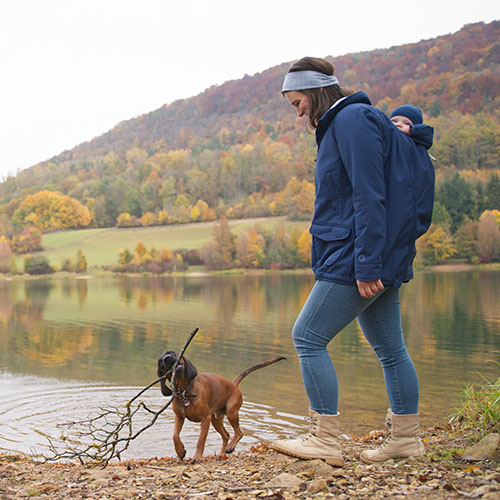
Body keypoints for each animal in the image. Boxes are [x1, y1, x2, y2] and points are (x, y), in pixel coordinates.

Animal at [158, 352, 288, 460]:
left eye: (173, 353)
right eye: (161, 360)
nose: (167, 358)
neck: (184, 392)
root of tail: (233, 383)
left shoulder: (205, 419)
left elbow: (200, 441)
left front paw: (196, 457)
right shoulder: (179, 417)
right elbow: (175, 436)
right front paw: (180, 452)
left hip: (231, 412)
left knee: (239, 433)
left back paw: (230, 447)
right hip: (216, 420)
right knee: (226, 435)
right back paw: (221, 454)